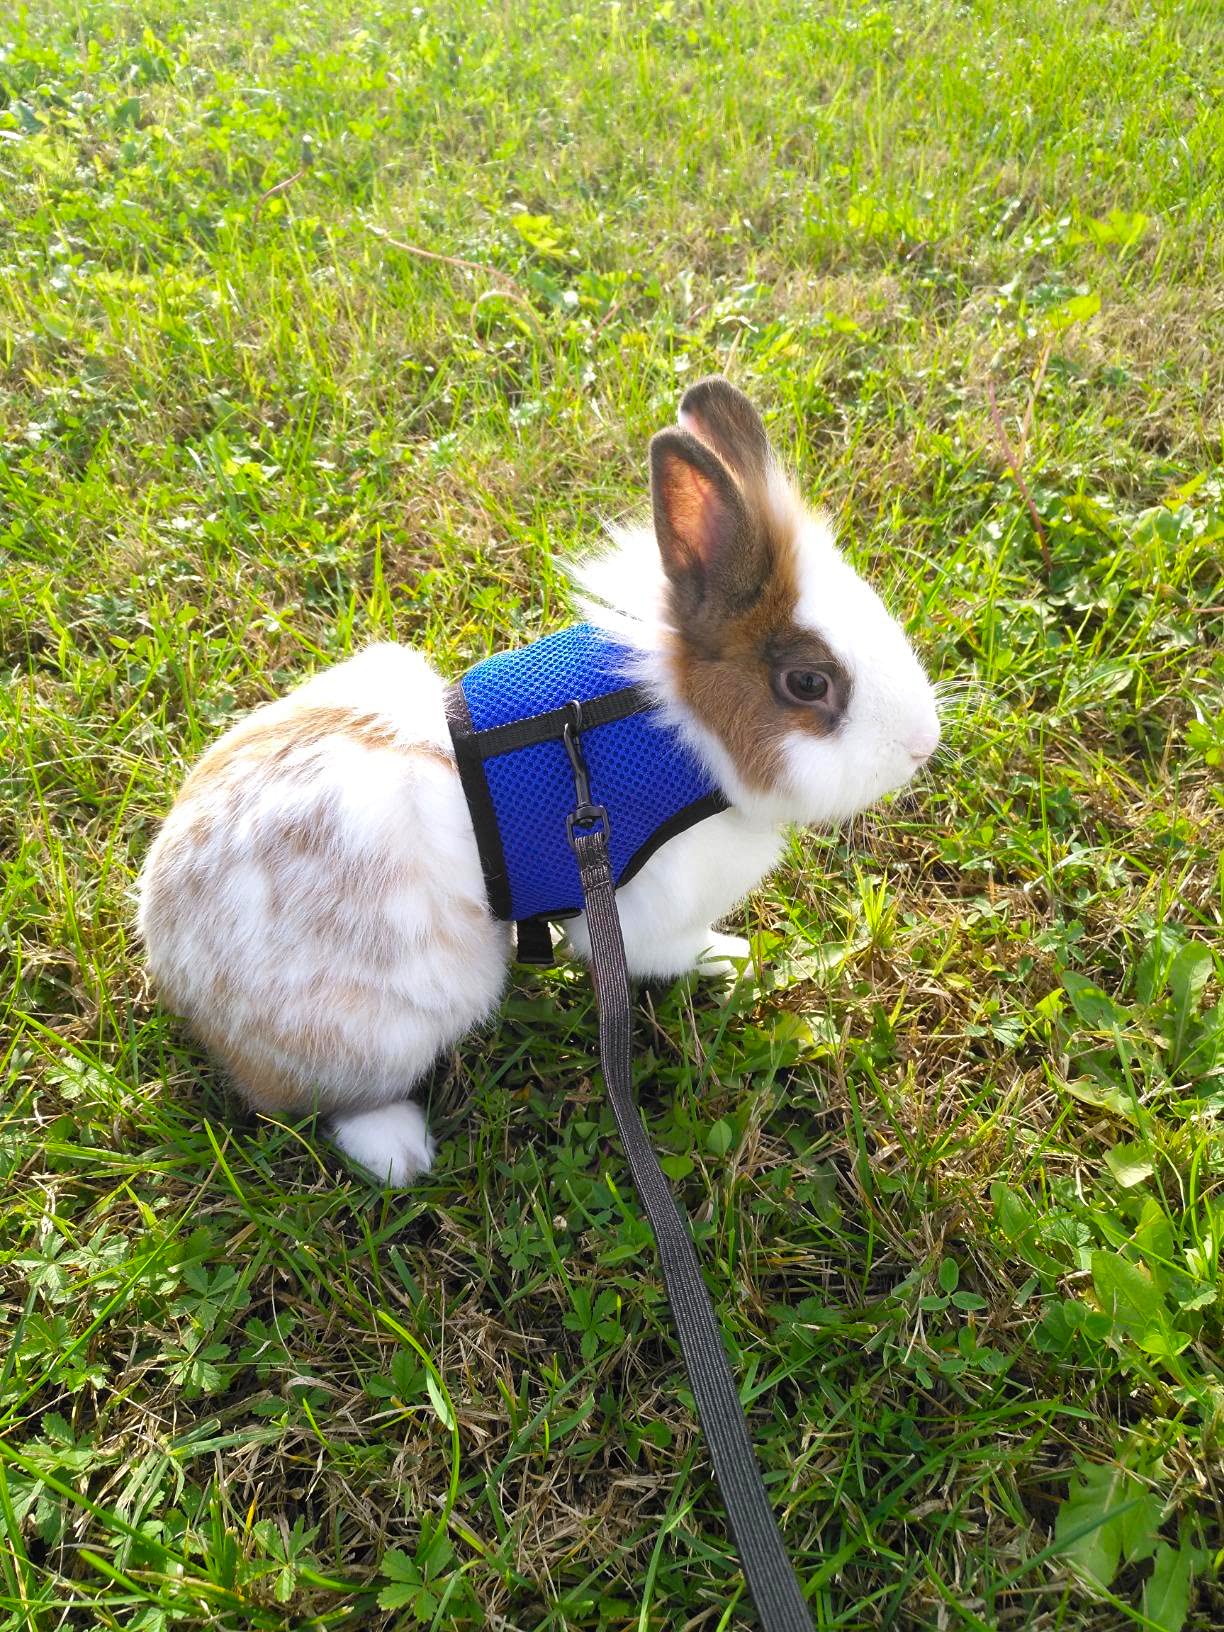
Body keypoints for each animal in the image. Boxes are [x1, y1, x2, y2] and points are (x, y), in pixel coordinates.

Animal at [137, 377, 941, 1185]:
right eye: (807, 683)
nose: (922, 743)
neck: (681, 731)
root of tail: (174, 964)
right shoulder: (637, 911)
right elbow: (673, 950)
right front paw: (730, 957)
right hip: (388, 1019)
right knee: (319, 1102)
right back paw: (400, 1153)